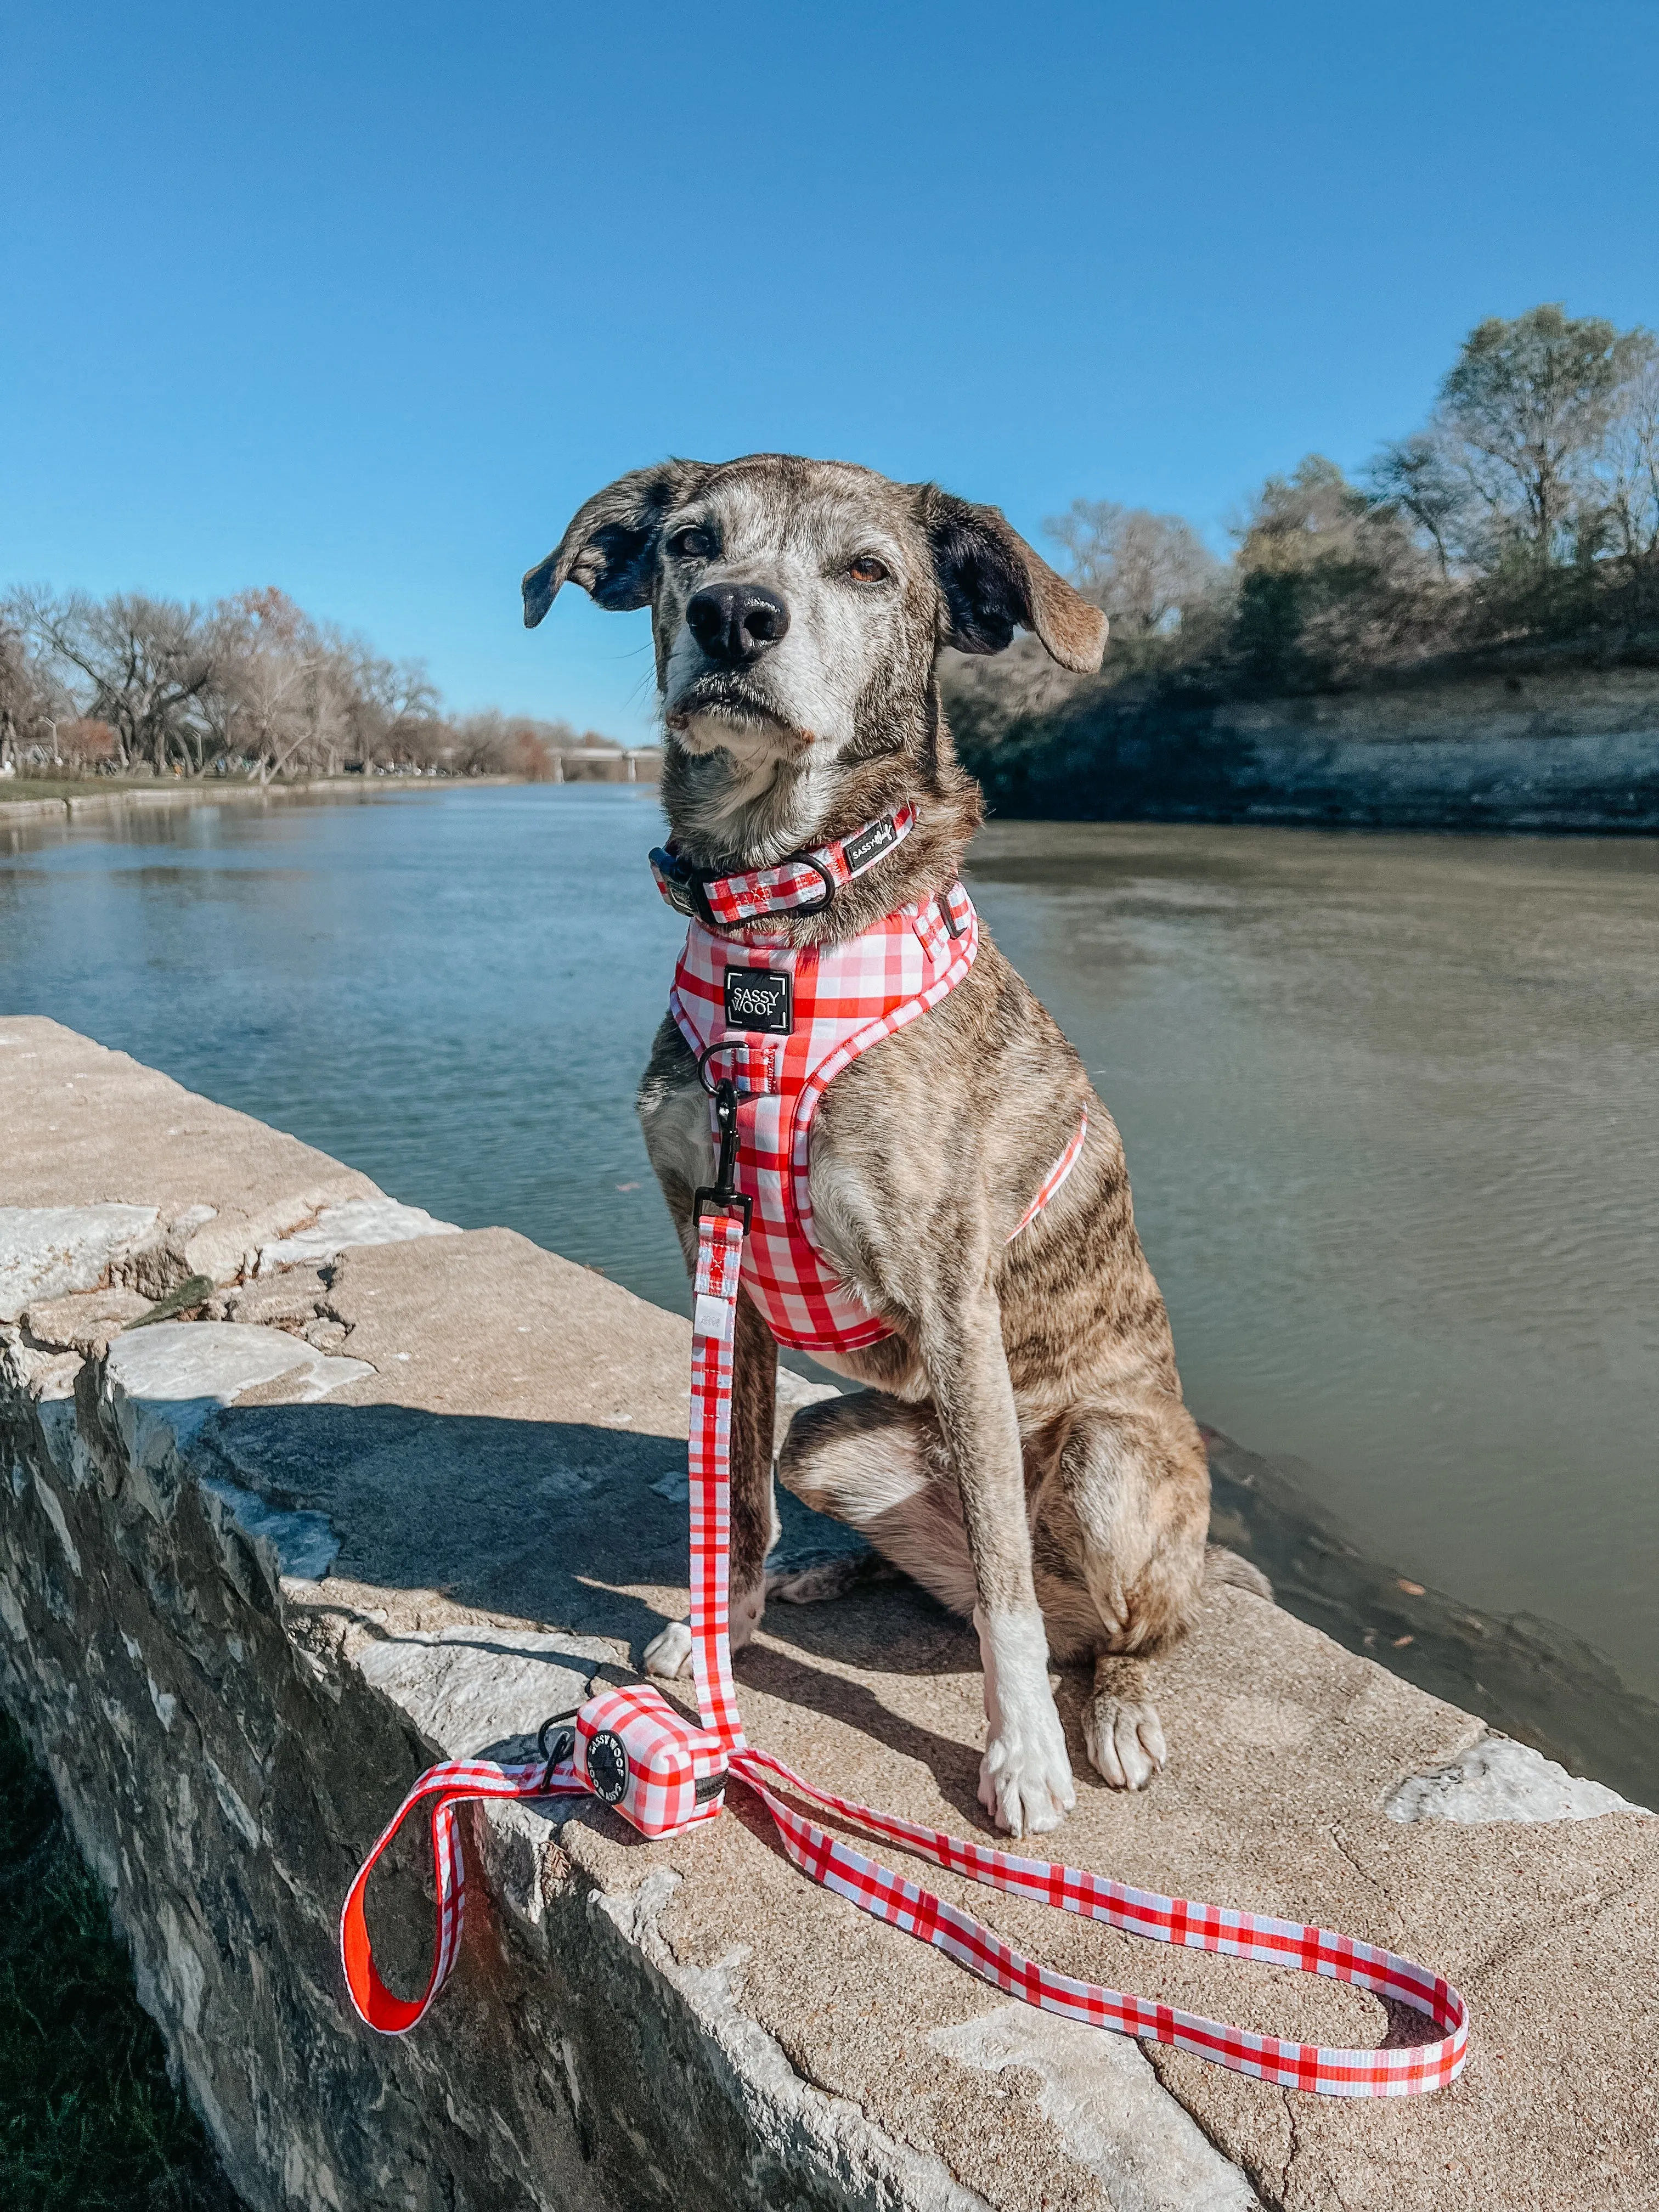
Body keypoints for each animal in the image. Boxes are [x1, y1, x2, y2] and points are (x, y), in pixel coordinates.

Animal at [526, 458, 1212, 1840]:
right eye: (691, 544)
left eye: (868, 570)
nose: (736, 617)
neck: (774, 927)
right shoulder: (721, 1268)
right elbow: (735, 1497)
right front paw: (718, 1636)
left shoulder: (954, 1300)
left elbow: (1004, 1578)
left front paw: (1022, 1756)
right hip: (836, 1437)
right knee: (918, 1556)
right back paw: (830, 1579)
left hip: (1111, 1462)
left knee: (1105, 1622)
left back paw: (1110, 1709)